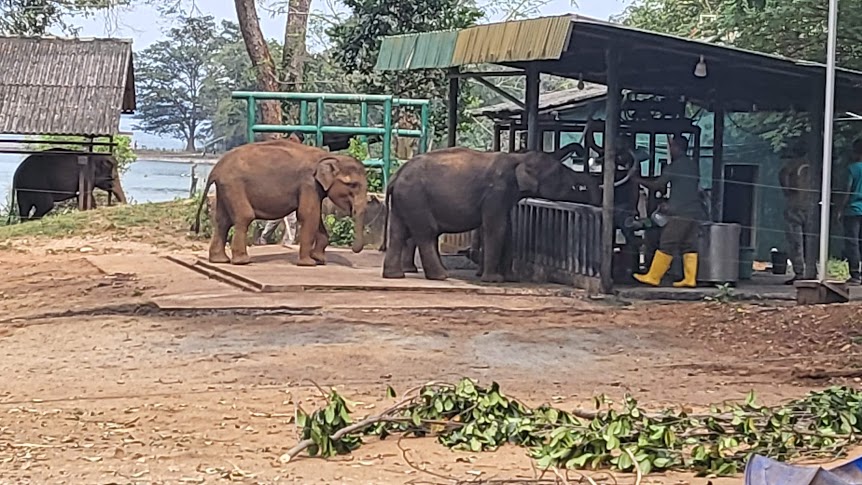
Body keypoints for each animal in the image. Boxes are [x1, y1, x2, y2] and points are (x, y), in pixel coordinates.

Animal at [192, 139, 368, 266]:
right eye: (353, 185)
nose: (354, 249)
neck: (327, 156)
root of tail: (215, 169)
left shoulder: (315, 188)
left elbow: (316, 216)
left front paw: (319, 260)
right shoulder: (308, 183)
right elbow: (308, 215)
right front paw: (308, 263)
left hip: (225, 188)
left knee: (223, 221)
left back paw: (219, 260)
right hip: (234, 185)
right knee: (244, 216)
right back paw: (242, 261)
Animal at [381, 145, 599, 282]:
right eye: (560, 173)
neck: (517, 157)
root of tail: (395, 176)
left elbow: (508, 229)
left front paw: (511, 278)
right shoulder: (497, 191)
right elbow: (496, 227)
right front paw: (494, 280)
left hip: (405, 200)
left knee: (398, 232)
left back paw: (395, 276)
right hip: (415, 198)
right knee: (426, 233)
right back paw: (441, 276)